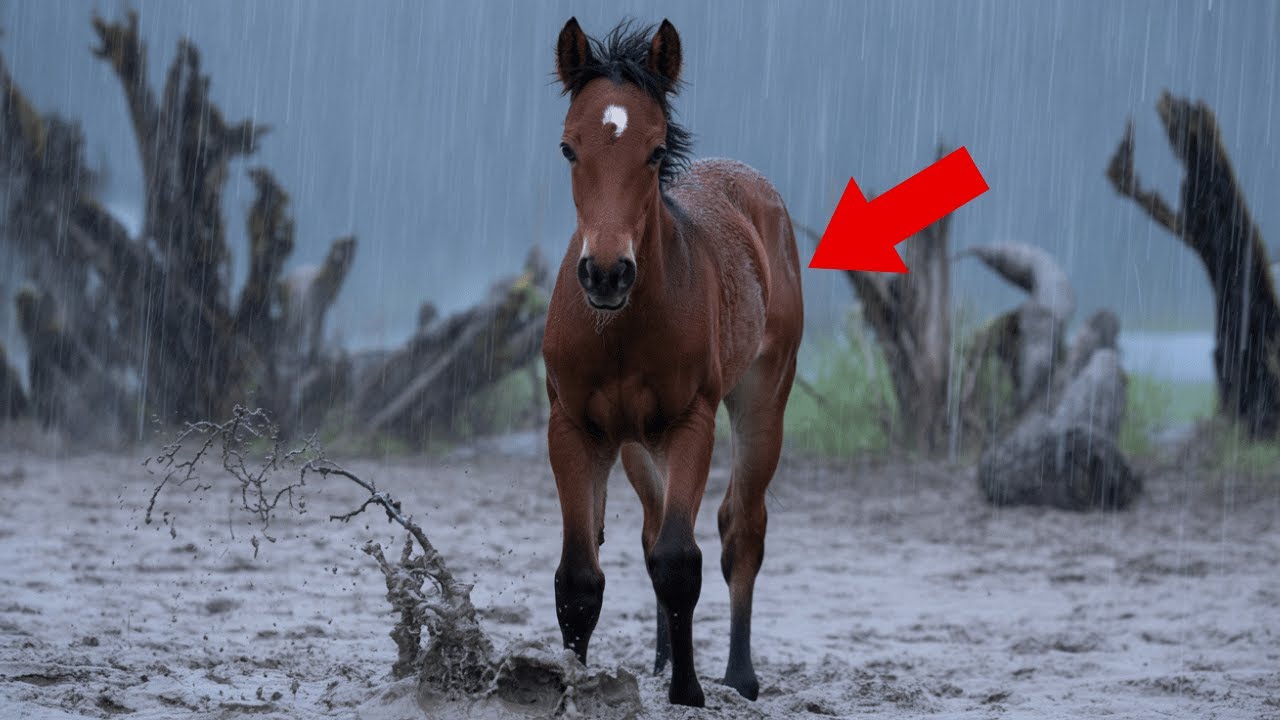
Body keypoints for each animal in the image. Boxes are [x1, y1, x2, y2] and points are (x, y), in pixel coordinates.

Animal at [541, 18, 804, 707]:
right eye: (568, 149)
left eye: (656, 151)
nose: (607, 273)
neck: (618, 327)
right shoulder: (573, 427)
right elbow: (579, 577)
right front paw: (569, 685)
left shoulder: (692, 422)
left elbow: (680, 561)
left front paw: (689, 691)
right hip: (638, 443)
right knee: (652, 524)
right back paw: (660, 659)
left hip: (762, 400)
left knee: (741, 529)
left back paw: (738, 677)